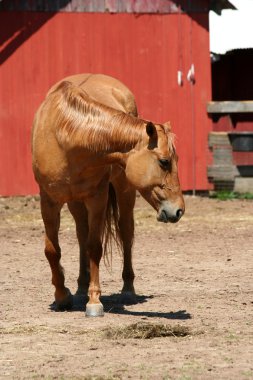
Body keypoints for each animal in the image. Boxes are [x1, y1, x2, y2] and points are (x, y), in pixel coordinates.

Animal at [31, 72, 184, 316]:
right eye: (164, 161)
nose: (179, 210)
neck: (65, 136)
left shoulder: (97, 198)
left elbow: (95, 246)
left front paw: (94, 302)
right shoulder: (49, 200)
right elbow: (52, 250)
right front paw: (62, 297)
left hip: (124, 191)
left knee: (126, 232)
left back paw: (127, 289)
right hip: (76, 203)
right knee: (81, 235)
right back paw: (81, 288)